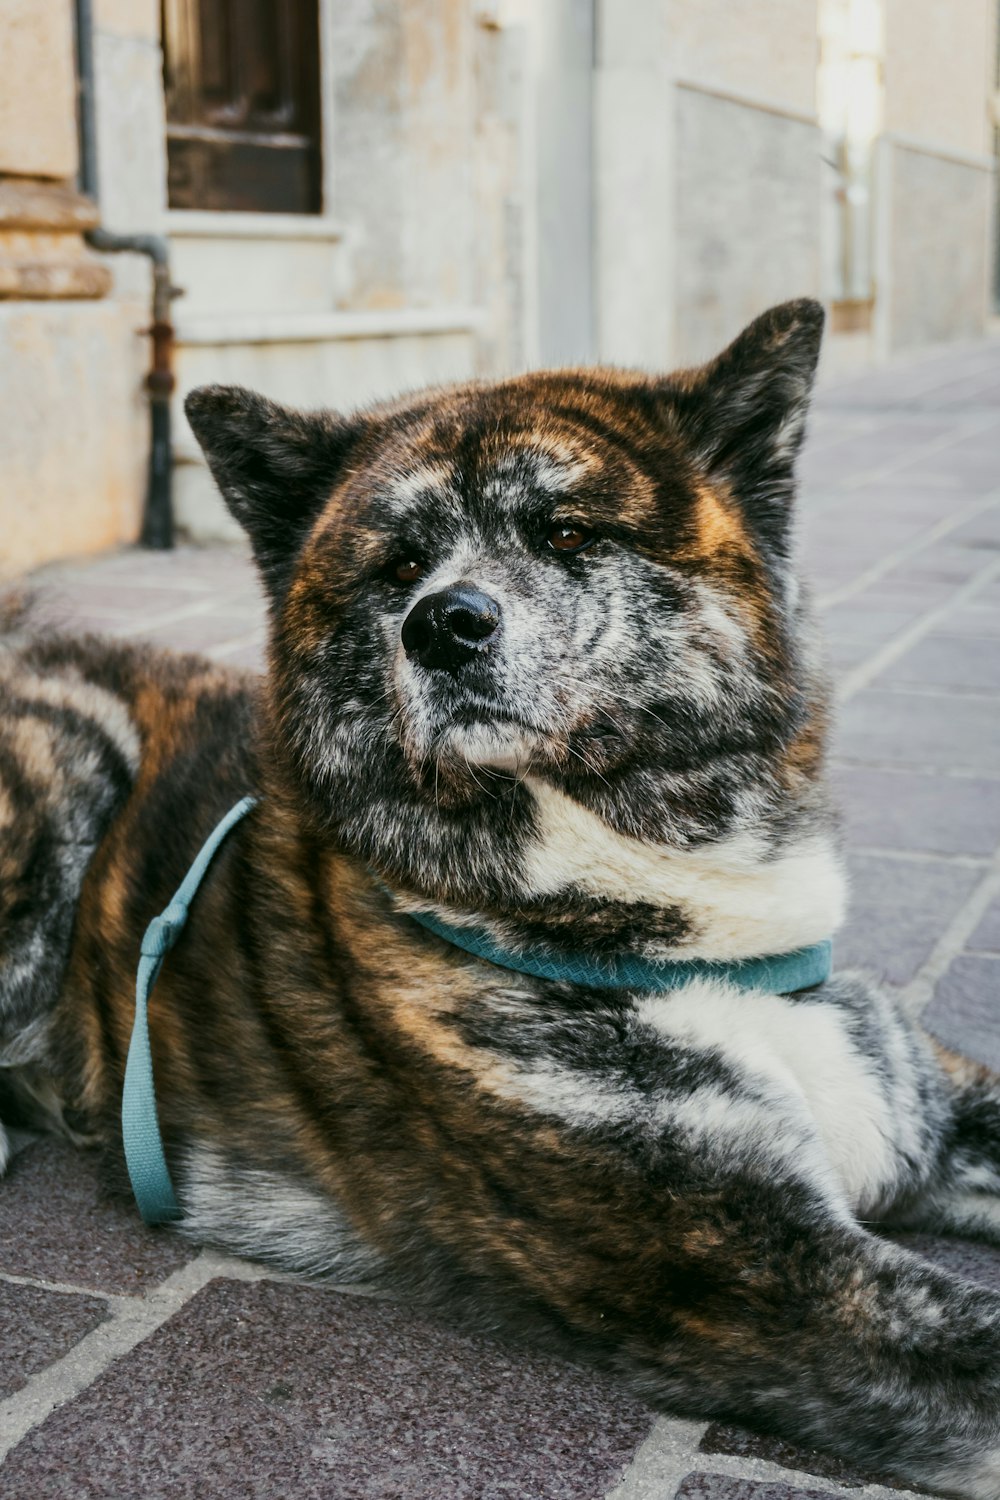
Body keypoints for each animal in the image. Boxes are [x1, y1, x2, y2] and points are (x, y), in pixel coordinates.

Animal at [5, 298, 1000, 1494]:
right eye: (399, 565)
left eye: (567, 534)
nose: (442, 623)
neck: (673, 927)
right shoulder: (769, 1272)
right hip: (65, 774)